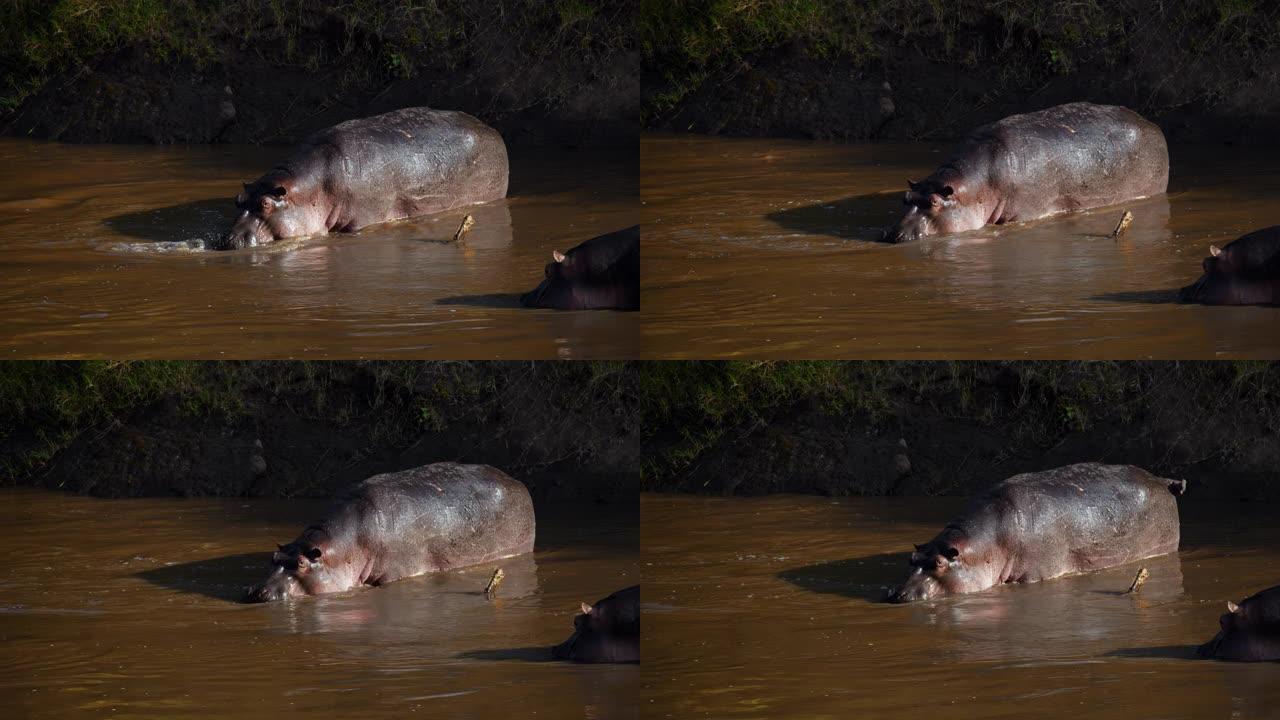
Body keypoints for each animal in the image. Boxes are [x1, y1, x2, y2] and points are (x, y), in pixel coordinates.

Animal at [212, 106, 506, 249]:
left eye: (265, 204)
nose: (226, 240)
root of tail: (492, 129)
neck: (313, 189)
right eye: (238, 199)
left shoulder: (361, 221)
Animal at [244, 458, 529, 599]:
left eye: (303, 564)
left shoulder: (395, 573)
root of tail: (517, 482)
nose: (258, 592)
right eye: (274, 558)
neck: (345, 548)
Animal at [880, 101, 1172, 242]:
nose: (893, 235)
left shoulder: (1024, 213)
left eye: (933, 202)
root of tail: (1153, 125)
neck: (977, 185)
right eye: (906, 198)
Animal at [885, 458, 1182, 599]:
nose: (896, 594)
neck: (987, 545)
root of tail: (1162, 480)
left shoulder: (1034, 575)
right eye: (911, 559)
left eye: (938, 563)